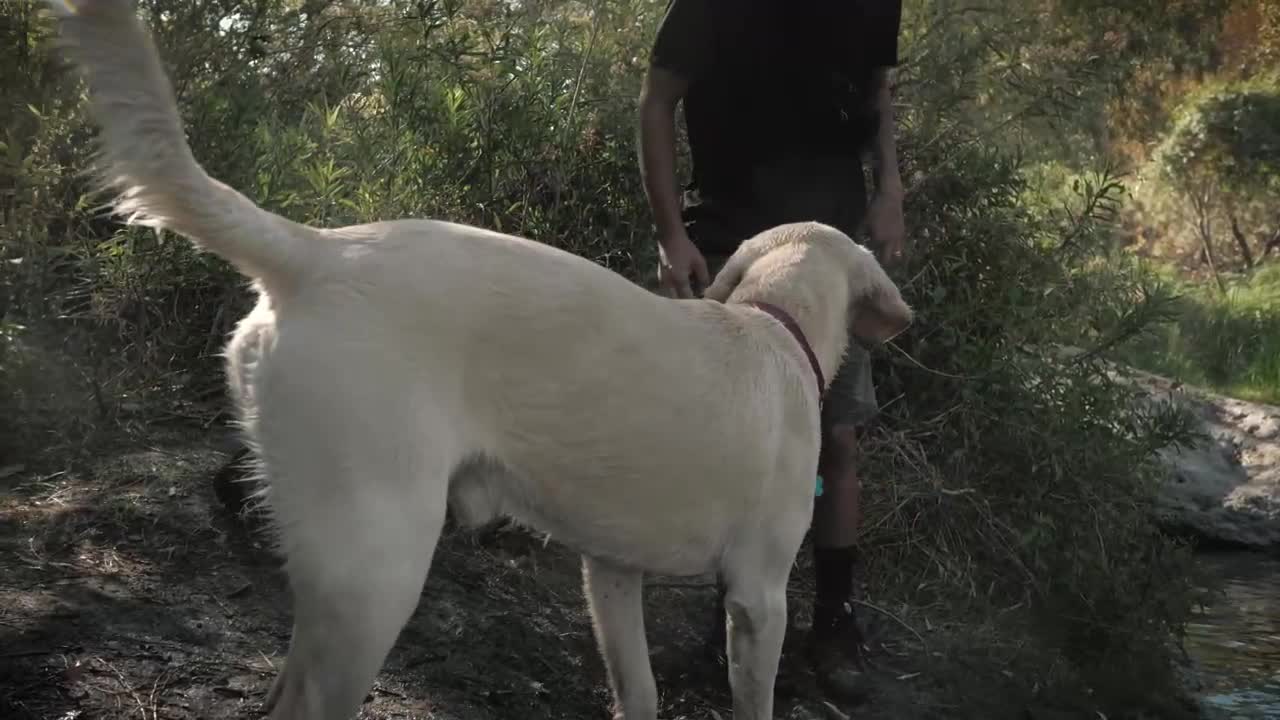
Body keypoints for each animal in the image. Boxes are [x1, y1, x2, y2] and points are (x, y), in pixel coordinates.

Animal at [47, 1, 911, 717]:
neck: (771, 322)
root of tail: (317, 251)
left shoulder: (611, 574)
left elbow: (638, 691)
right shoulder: (758, 599)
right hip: (378, 569)